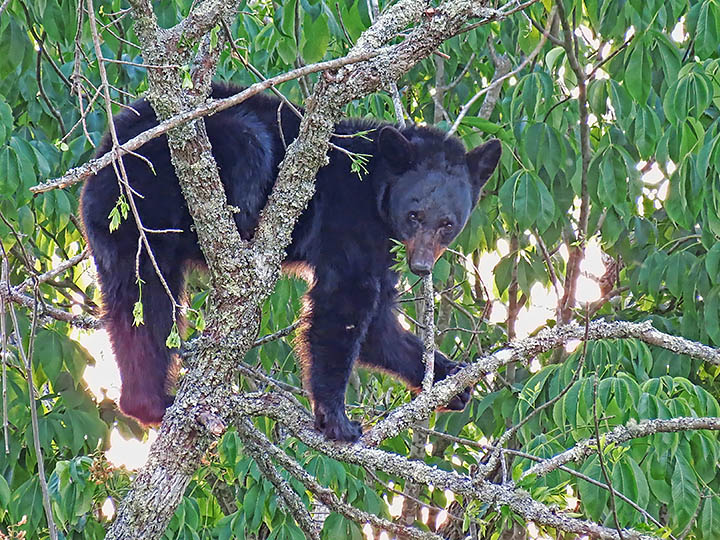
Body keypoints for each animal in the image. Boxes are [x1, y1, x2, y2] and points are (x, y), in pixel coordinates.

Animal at [80, 83, 500, 438]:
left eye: (448, 223)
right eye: (414, 214)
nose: (421, 266)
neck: (375, 185)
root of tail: (106, 151)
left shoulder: (384, 248)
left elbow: (377, 326)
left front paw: (450, 377)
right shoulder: (348, 216)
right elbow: (344, 302)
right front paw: (336, 419)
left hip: (122, 231)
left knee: (140, 304)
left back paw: (148, 402)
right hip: (164, 175)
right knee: (247, 143)